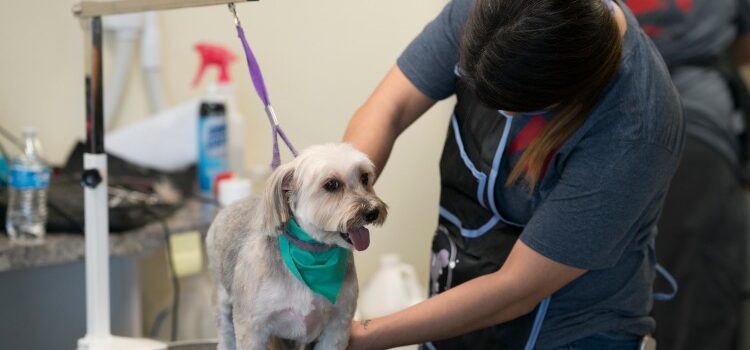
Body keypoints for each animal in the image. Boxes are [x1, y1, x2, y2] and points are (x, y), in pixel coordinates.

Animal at [209, 143, 390, 350]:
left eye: (364, 177)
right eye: (331, 184)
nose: (372, 211)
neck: (312, 254)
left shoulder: (338, 324)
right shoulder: (252, 327)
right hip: (222, 299)